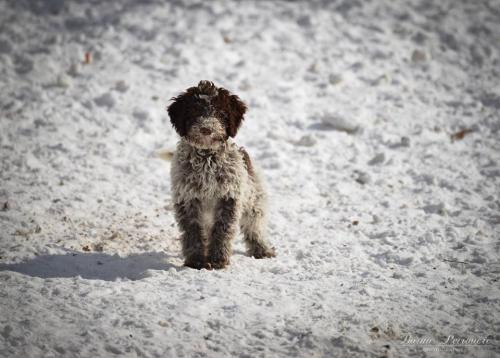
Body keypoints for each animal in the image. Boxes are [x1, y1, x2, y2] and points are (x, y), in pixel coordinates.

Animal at [168, 81, 278, 270]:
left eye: (220, 113)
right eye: (195, 111)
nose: (206, 129)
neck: (207, 158)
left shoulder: (229, 196)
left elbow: (223, 229)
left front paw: (218, 259)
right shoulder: (187, 198)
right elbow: (192, 230)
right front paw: (196, 260)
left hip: (254, 199)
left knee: (254, 227)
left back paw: (261, 249)